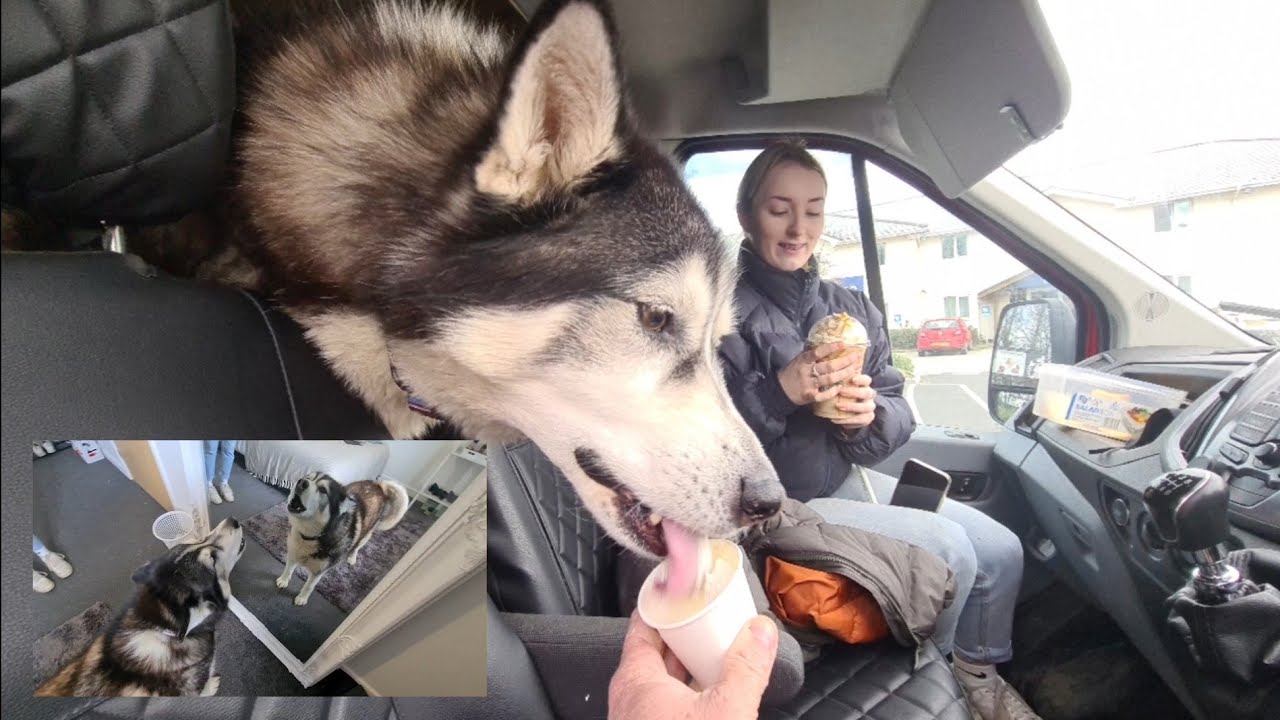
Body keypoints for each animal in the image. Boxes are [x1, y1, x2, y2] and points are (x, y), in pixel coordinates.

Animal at [275, 472, 410, 606]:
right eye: (308, 477)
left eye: (323, 489)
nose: (301, 482)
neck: (310, 536)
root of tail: (377, 485)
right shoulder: (293, 553)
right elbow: (288, 569)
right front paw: (283, 580)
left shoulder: (319, 571)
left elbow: (309, 586)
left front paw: (302, 598)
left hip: (366, 534)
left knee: (358, 545)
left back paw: (352, 557)